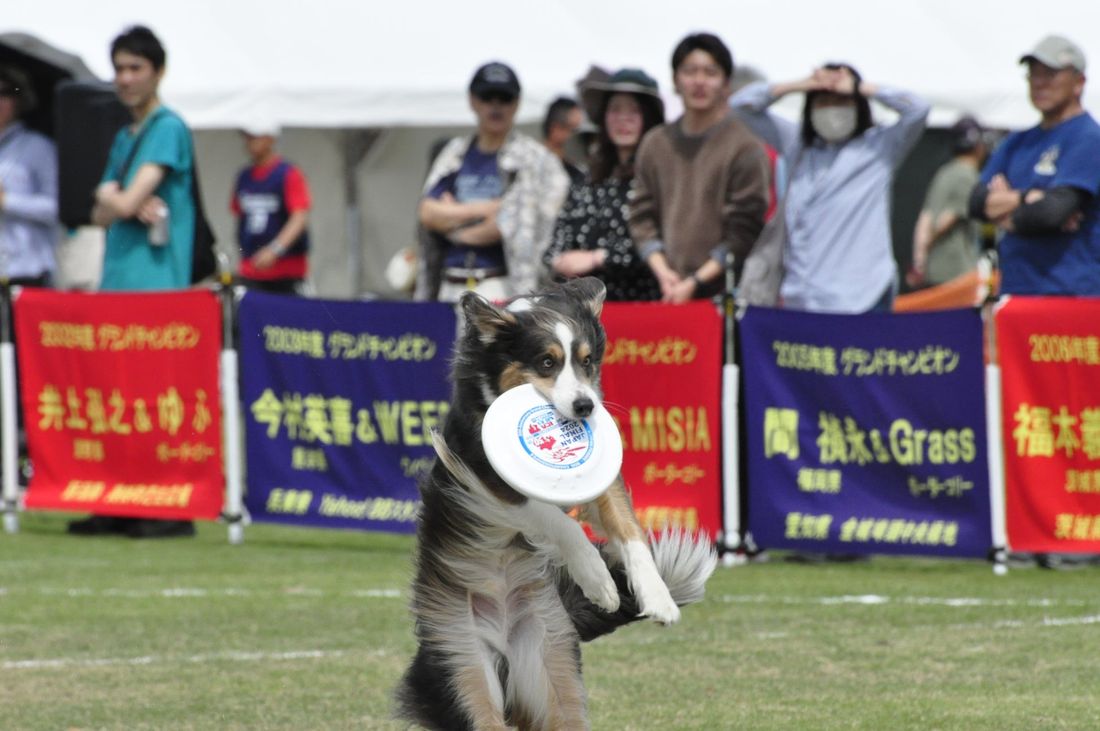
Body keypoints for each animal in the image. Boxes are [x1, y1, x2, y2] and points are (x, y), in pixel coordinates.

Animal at [393, 277, 712, 725]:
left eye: (587, 361)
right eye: (546, 363)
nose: (585, 407)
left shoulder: (604, 478)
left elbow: (629, 532)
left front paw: (658, 597)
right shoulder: (486, 477)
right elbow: (557, 520)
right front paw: (598, 579)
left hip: (549, 668)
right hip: (463, 668)